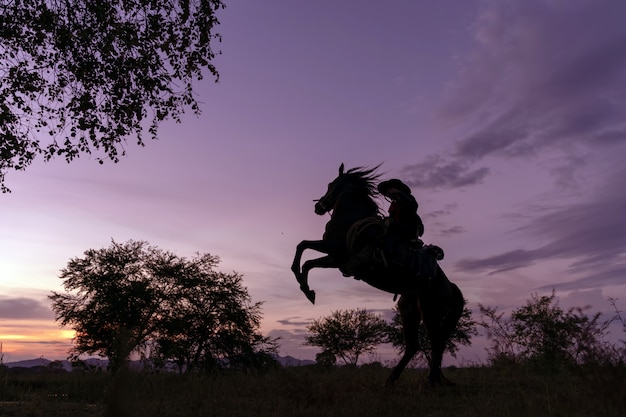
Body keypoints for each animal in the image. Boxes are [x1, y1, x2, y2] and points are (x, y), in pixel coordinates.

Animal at [288, 163, 464, 386]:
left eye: (330, 184)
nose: (318, 206)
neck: (352, 218)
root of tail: (450, 287)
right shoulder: (335, 258)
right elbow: (308, 260)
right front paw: (308, 290)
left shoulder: (335, 251)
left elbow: (302, 247)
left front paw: (303, 285)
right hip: (409, 309)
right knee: (414, 345)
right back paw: (390, 381)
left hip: (429, 308)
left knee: (436, 342)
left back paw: (429, 384)